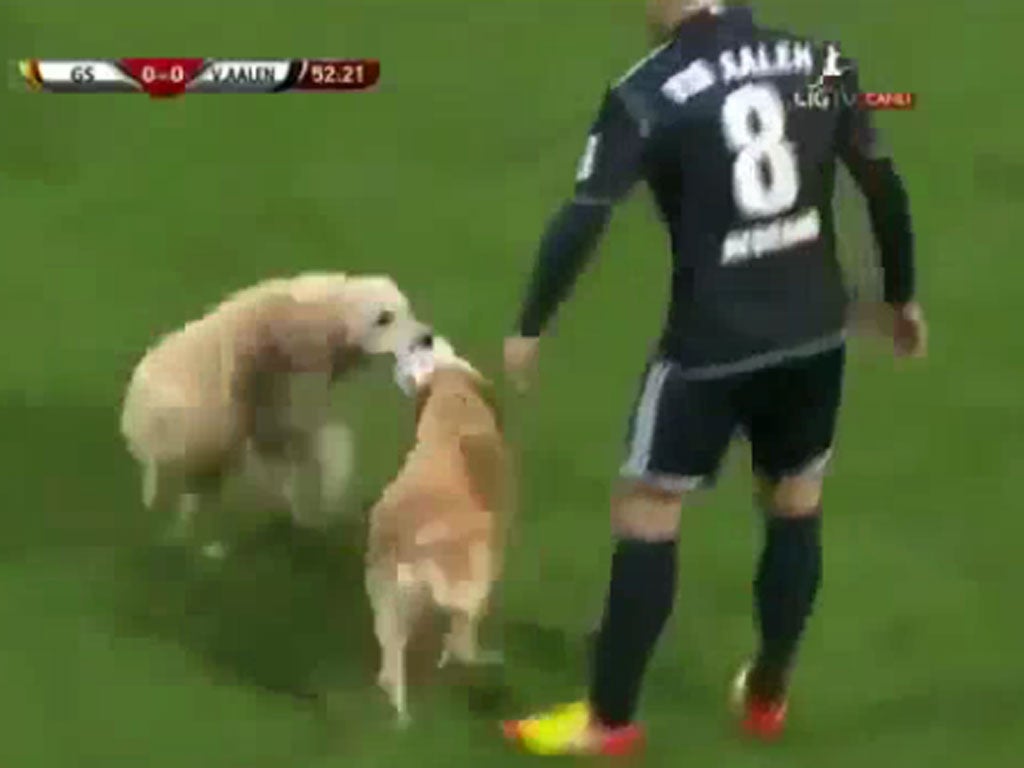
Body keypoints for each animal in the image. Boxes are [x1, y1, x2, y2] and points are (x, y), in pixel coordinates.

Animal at [120, 272, 432, 552]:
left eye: (407, 307)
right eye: (384, 318)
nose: (426, 338)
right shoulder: (289, 379)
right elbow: (316, 442)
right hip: (201, 434)